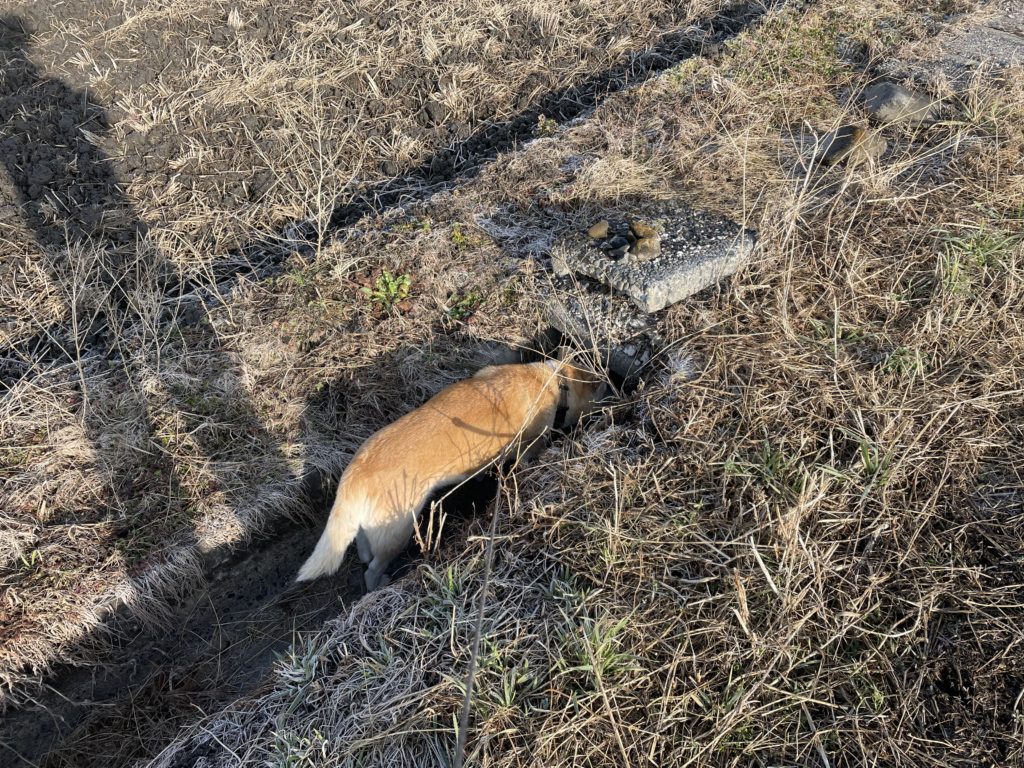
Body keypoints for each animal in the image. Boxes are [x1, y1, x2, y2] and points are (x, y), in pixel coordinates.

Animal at [296, 359, 605, 591]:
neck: (552, 380)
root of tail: (356, 474)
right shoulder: (529, 446)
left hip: (370, 527)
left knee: (362, 548)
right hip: (397, 531)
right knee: (371, 570)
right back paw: (378, 585)